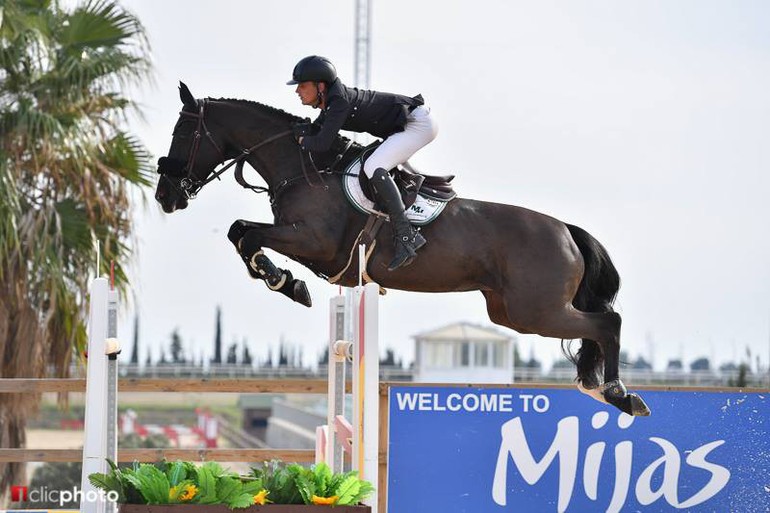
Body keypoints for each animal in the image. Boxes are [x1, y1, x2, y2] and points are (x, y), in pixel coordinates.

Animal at [154, 81, 648, 416]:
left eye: (183, 134)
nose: (166, 196)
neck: (306, 165)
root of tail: (565, 230)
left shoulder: (314, 241)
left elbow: (247, 234)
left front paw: (286, 282)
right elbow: (240, 232)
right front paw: (285, 281)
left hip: (535, 310)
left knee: (608, 322)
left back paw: (617, 393)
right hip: (510, 312)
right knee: (596, 325)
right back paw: (597, 387)